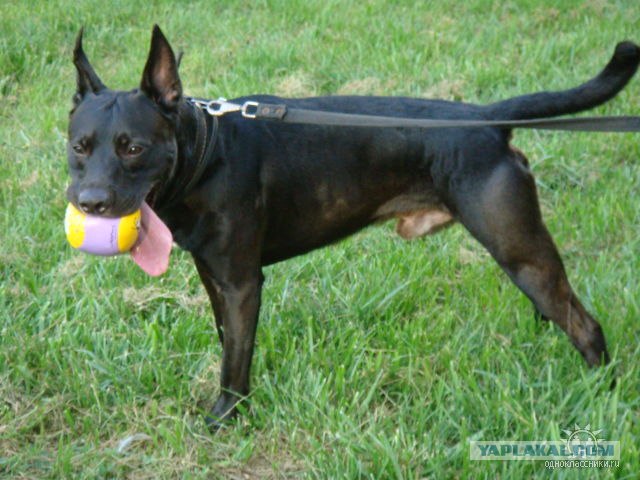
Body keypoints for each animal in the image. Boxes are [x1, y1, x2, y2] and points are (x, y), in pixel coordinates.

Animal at [66, 25, 640, 428]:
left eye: (133, 148)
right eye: (79, 147)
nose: (90, 203)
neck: (206, 149)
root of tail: (485, 119)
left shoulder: (242, 283)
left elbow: (235, 360)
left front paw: (225, 420)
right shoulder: (214, 278)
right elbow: (228, 341)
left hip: (518, 250)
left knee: (585, 326)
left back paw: (601, 397)